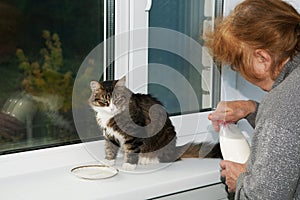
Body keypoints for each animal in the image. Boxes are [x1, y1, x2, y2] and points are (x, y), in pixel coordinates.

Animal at [89, 76, 220, 170]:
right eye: (105, 101)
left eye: (117, 100)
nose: (112, 108)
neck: (110, 117)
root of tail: (174, 149)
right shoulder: (109, 134)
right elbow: (110, 148)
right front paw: (109, 161)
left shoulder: (134, 131)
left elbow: (131, 149)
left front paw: (129, 165)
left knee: (167, 158)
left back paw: (146, 159)